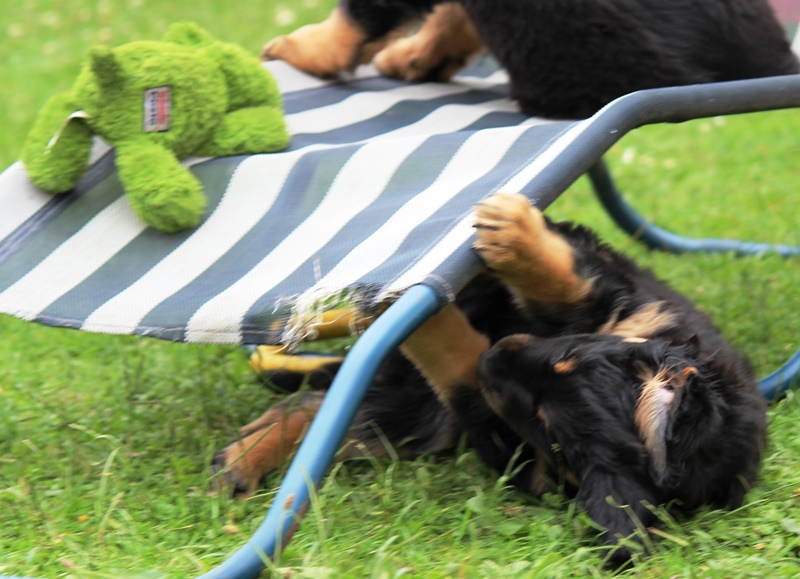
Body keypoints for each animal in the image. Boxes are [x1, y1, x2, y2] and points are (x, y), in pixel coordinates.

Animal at [214, 193, 767, 566]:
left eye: (547, 425)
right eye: (567, 356)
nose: (500, 352)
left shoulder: (509, 443)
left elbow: (460, 365)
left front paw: (418, 308)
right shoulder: (627, 300)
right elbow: (571, 282)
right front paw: (514, 231)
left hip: (416, 420)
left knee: (326, 409)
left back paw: (246, 454)